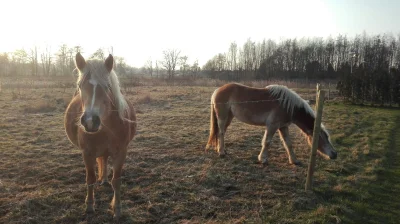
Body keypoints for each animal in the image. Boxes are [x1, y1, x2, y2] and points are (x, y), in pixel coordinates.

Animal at [64, 53, 136, 219]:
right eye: (80, 86)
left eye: (108, 86)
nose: (90, 121)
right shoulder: (87, 153)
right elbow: (90, 178)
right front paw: (90, 206)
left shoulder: (121, 152)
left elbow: (116, 181)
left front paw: (117, 209)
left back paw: (104, 179)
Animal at [205, 82, 336, 164]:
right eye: (323, 137)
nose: (334, 154)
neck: (288, 105)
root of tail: (217, 90)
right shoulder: (272, 126)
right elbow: (267, 142)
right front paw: (263, 159)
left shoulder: (283, 127)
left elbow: (288, 144)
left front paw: (294, 160)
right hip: (222, 117)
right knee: (221, 133)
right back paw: (221, 152)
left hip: (229, 117)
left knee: (221, 132)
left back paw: (221, 149)